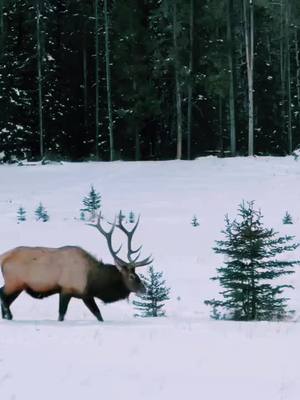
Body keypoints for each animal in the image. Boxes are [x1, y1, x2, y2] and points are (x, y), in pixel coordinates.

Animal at [0, 212, 151, 322]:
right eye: (132, 276)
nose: (145, 290)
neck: (93, 280)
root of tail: (3, 257)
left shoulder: (86, 295)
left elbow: (98, 314)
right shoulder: (66, 289)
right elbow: (61, 314)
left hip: (17, 285)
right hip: (15, 282)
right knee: (3, 296)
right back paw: (9, 316)